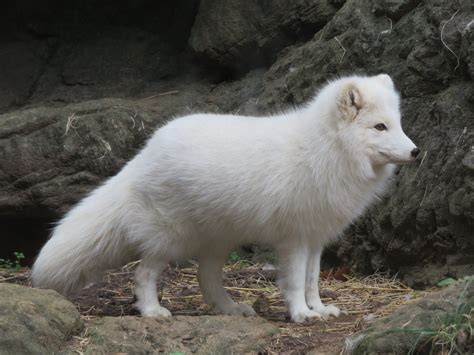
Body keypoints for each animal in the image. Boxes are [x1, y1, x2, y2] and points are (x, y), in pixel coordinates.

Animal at [32, 74, 418, 322]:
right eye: (380, 127)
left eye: (398, 124)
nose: (415, 152)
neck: (325, 150)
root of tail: (143, 154)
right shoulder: (294, 238)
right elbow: (294, 281)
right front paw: (300, 314)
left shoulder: (315, 237)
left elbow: (312, 281)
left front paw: (318, 309)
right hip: (172, 238)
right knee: (142, 274)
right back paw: (153, 311)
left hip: (218, 240)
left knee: (206, 279)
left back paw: (232, 310)